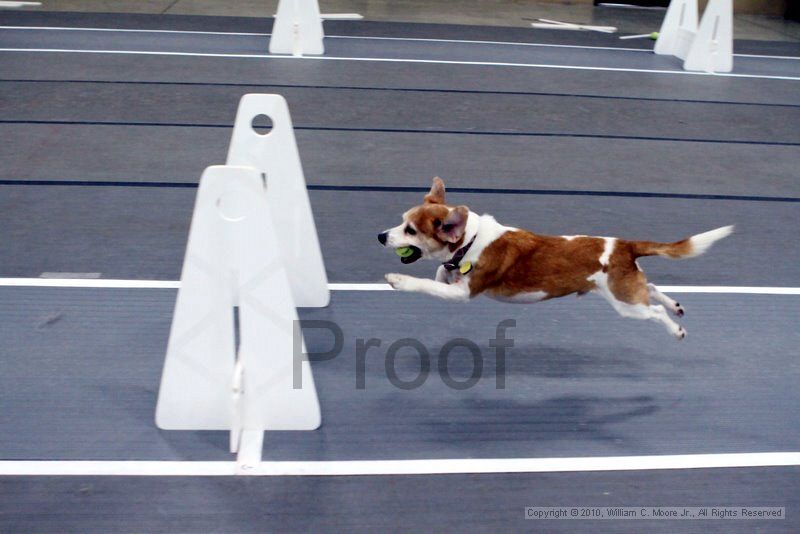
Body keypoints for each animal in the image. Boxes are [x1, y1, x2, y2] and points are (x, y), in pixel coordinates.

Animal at [378, 178, 736, 342]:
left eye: (410, 230)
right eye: (401, 221)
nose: (381, 236)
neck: (471, 240)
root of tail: (624, 245)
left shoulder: (463, 294)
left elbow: (426, 284)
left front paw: (399, 280)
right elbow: (440, 272)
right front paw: (444, 270)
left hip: (625, 304)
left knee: (655, 312)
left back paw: (676, 328)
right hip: (627, 287)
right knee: (651, 288)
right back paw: (676, 305)